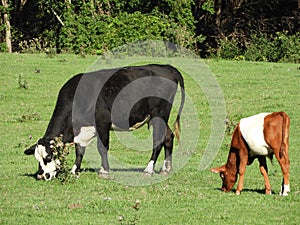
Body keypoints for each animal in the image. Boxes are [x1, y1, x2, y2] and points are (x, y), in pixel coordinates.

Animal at [24, 64, 185, 180]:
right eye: (37, 158)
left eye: (48, 157)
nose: (40, 176)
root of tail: (166, 67)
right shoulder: (82, 131)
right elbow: (79, 151)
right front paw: (74, 171)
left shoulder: (102, 123)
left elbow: (102, 148)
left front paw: (104, 171)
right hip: (155, 117)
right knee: (168, 136)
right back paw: (166, 168)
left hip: (159, 114)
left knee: (158, 140)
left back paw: (148, 169)